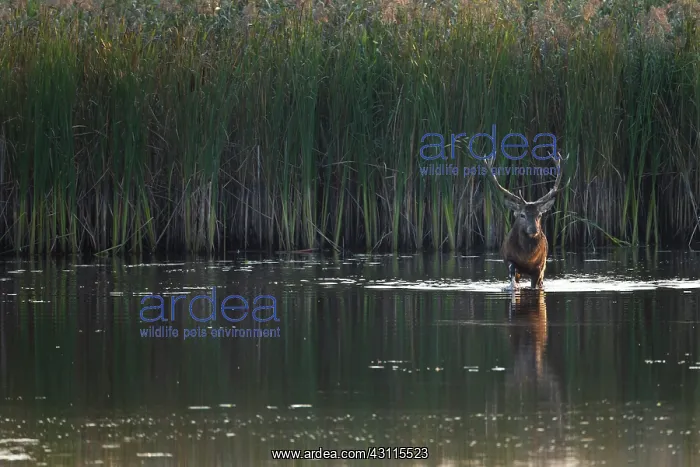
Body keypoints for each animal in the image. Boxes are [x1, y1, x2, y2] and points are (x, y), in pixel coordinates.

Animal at [483, 153, 564, 291]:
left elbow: (534, 285)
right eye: (522, 215)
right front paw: (512, 287)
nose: (534, 229)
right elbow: (512, 278)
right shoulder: (509, 258)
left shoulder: (539, 267)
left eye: (539, 214)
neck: (526, 258)